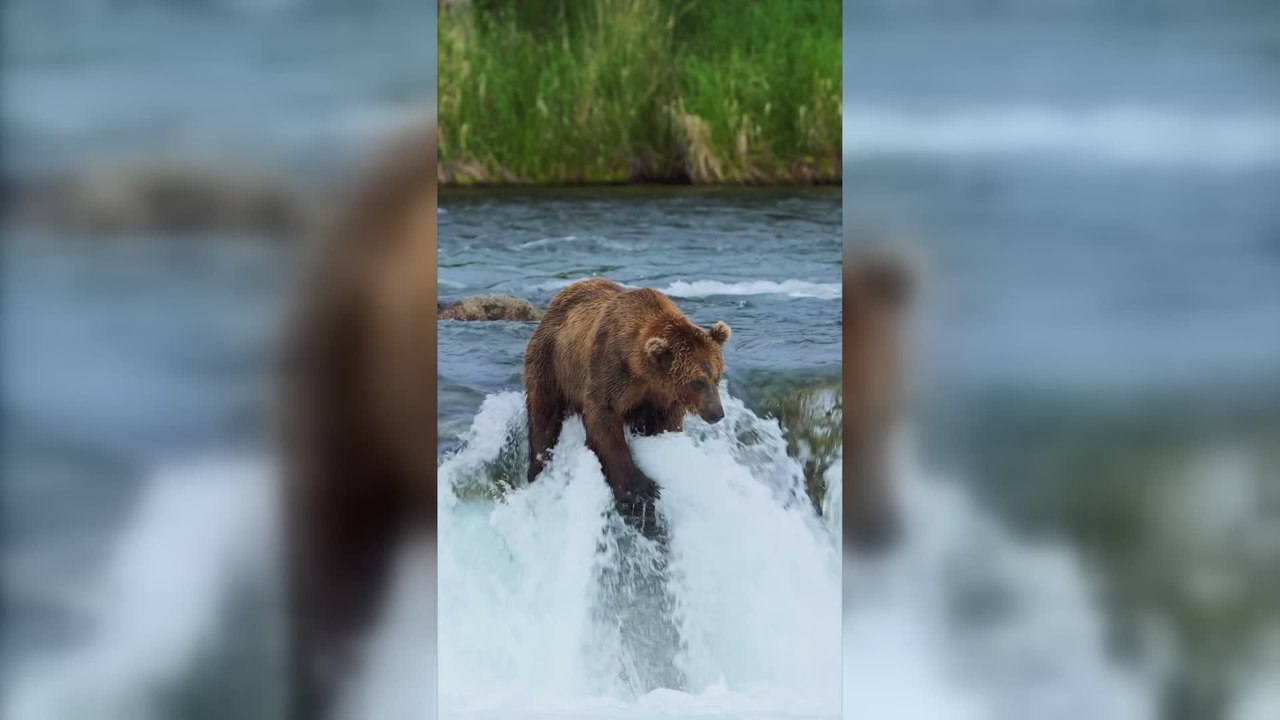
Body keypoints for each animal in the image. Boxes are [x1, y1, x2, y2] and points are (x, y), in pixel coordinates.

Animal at [523, 278, 731, 522]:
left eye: (717, 376)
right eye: (697, 382)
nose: (717, 413)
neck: (642, 369)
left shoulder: (659, 395)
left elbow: (666, 422)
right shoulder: (611, 369)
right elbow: (603, 419)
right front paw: (640, 487)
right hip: (551, 361)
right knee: (543, 414)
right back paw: (537, 466)